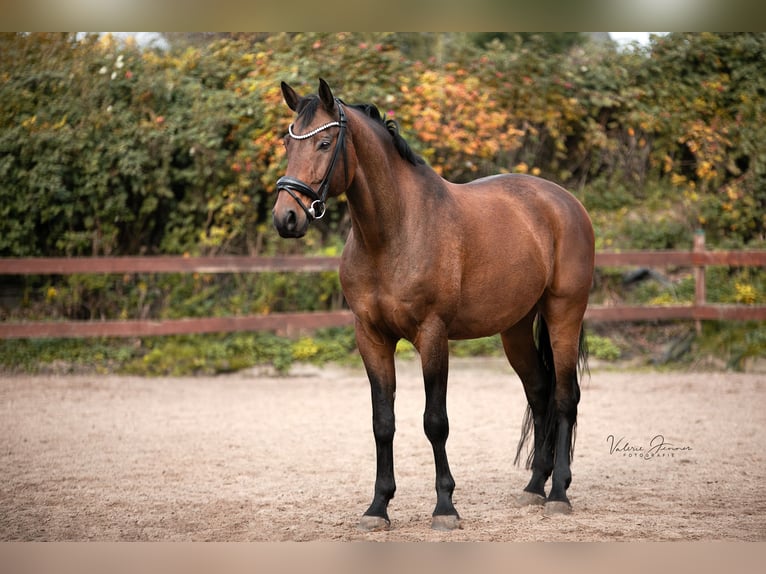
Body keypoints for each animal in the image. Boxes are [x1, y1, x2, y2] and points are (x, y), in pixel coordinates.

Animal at [272, 79, 596, 532]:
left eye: (324, 142)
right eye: (287, 142)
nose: (286, 218)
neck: (394, 233)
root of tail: (565, 202)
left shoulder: (433, 335)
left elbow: (435, 422)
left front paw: (445, 507)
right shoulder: (371, 338)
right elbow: (383, 423)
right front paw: (378, 507)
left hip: (564, 313)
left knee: (566, 397)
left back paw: (559, 494)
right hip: (515, 329)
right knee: (539, 393)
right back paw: (535, 487)